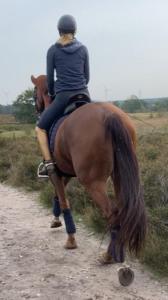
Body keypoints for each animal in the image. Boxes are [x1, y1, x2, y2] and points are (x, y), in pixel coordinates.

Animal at [31, 74, 146, 264]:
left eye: (34, 93)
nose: (37, 109)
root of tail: (109, 115)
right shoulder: (65, 172)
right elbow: (58, 195)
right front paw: (55, 219)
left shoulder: (55, 171)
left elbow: (63, 199)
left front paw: (70, 239)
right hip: (119, 176)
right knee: (122, 209)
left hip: (93, 182)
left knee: (112, 214)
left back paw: (108, 255)